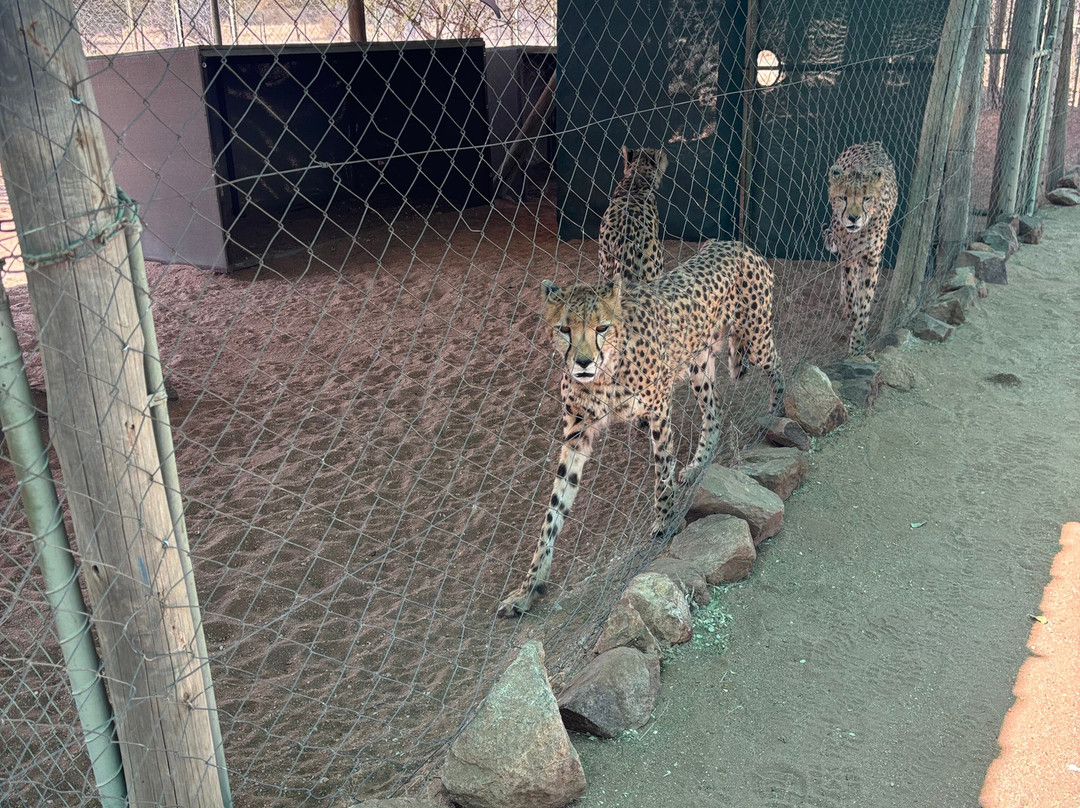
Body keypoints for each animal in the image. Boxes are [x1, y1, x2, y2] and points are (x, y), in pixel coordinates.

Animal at [497, 240, 784, 617]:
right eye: (564, 329)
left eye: (601, 327)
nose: (583, 362)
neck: (604, 374)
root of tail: (736, 244)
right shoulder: (577, 436)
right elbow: (554, 510)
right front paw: (530, 587)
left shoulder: (658, 409)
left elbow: (662, 473)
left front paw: (665, 522)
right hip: (699, 363)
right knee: (714, 410)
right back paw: (698, 466)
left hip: (755, 338)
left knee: (777, 363)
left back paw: (777, 413)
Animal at [824, 141, 898, 355]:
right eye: (843, 197)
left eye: (866, 198)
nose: (853, 218)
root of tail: (872, 143)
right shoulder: (849, 255)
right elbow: (850, 287)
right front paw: (851, 311)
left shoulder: (872, 258)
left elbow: (865, 298)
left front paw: (857, 341)